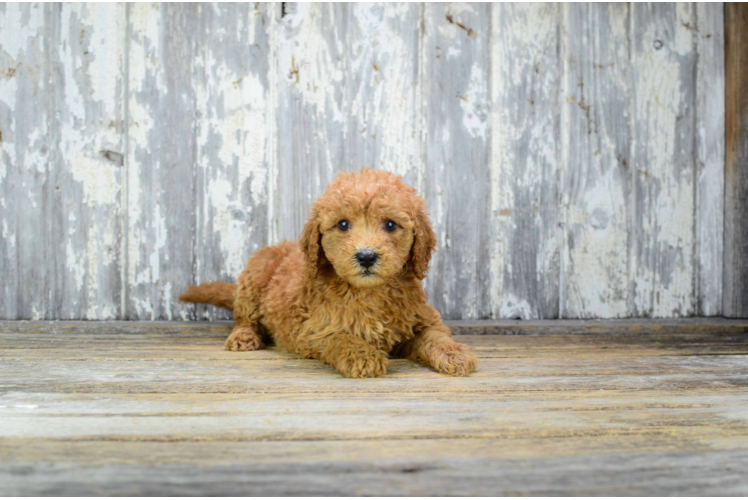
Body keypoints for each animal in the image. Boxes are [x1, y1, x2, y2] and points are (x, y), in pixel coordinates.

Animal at [178, 170, 476, 376]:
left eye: (390, 225)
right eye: (343, 224)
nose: (366, 256)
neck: (369, 292)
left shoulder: (423, 318)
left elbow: (436, 335)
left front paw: (455, 355)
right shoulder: (313, 330)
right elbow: (341, 337)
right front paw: (363, 356)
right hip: (256, 274)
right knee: (245, 316)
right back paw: (244, 337)